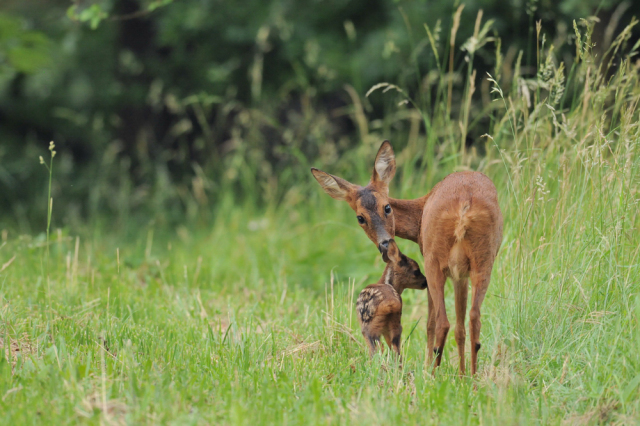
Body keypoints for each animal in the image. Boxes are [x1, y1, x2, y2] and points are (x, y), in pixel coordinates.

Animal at [312, 141, 502, 374]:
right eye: (360, 218)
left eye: (387, 207)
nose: (385, 245)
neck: (419, 212)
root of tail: (464, 207)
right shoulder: (461, 274)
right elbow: (460, 326)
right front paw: (462, 373)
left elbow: (432, 323)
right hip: (483, 260)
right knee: (474, 317)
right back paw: (472, 377)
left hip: (433, 259)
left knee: (440, 322)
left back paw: (431, 373)